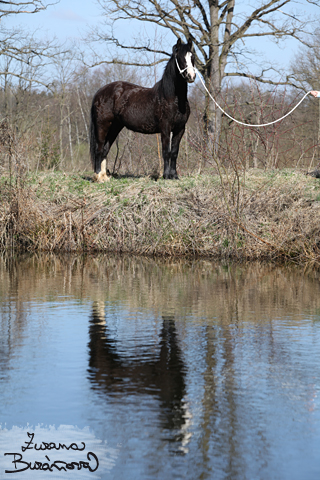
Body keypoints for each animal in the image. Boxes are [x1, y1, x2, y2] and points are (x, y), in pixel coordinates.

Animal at [89, 39, 196, 182]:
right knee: (99, 149)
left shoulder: (180, 129)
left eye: (192, 57)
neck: (171, 97)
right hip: (103, 125)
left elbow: (174, 152)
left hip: (115, 126)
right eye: (180, 58)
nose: (191, 76)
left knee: (105, 149)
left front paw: (174, 176)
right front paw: (166, 176)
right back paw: (98, 177)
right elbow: (166, 152)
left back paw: (104, 176)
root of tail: (100, 92)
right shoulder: (165, 128)